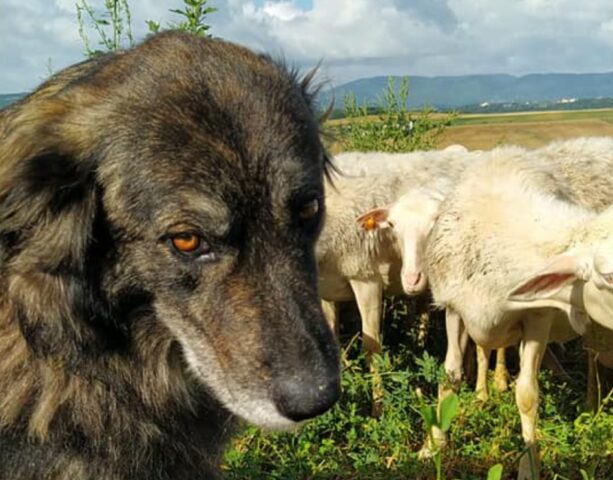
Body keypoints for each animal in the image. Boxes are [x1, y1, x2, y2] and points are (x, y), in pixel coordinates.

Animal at [424, 147, 612, 480]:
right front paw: (432, 445)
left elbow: (527, 395)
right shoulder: (454, 308)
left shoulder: (538, 317)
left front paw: (530, 465)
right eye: (610, 277)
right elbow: (450, 376)